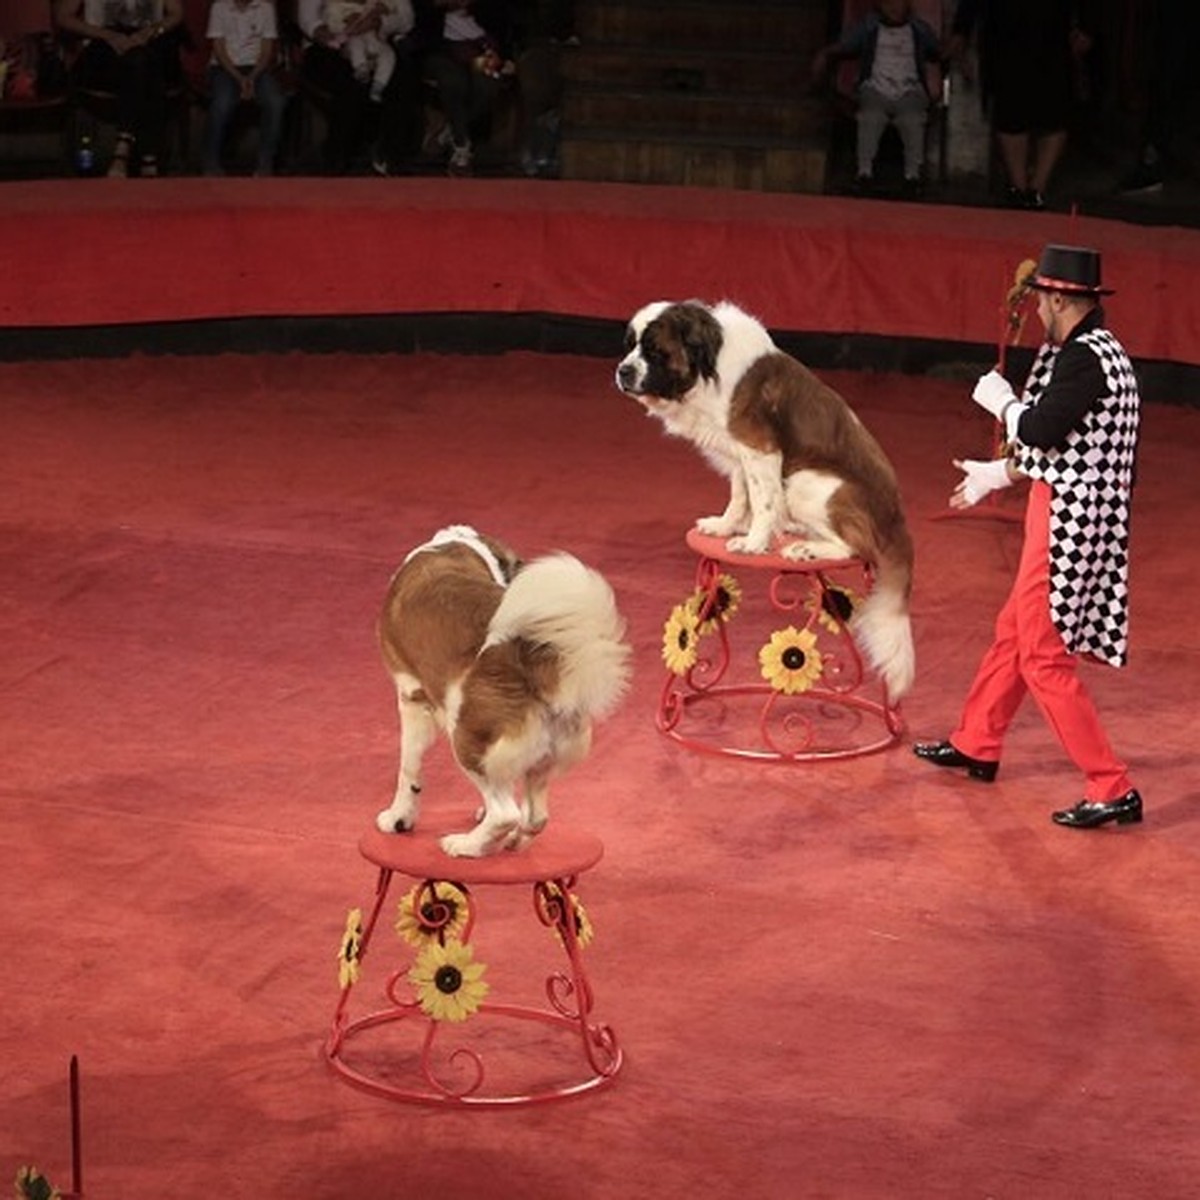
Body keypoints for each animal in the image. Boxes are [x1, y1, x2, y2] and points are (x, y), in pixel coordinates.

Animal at [376, 525, 633, 854]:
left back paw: (464, 845)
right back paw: (513, 840)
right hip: (541, 757)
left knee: (505, 813)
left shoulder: (411, 698)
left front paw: (398, 817)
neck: (455, 547)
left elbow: (408, 770)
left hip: (467, 740)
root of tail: (533, 661)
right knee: (535, 817)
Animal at [614, 300, 912, 700]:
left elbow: (764, 498)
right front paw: (725, 525)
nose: (623, 370)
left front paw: (754, 542)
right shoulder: (741, 451)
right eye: (630, 345)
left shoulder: (759, 447)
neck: (709, 369)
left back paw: (806, 548)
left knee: (856, 545)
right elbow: (741, 493)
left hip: (805, 481)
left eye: (655, 351)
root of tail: (896, 517)